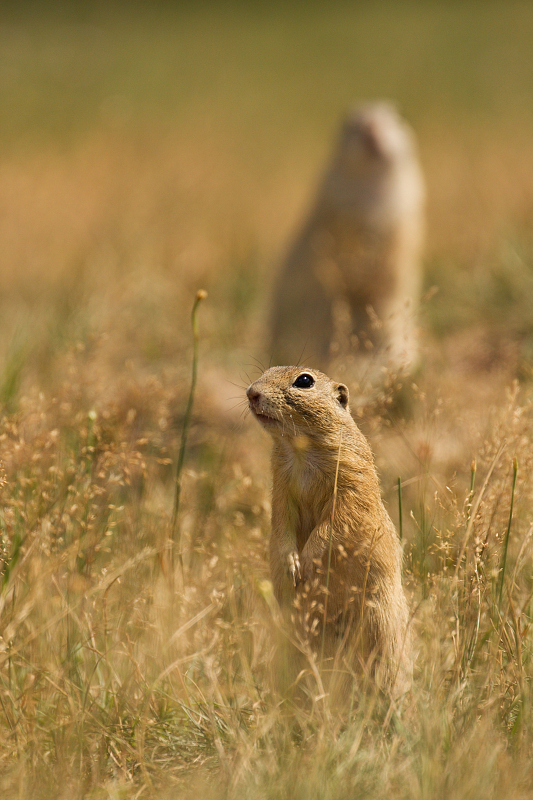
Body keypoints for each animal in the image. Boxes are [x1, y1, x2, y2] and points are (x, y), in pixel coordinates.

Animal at [246, 366, 412, 696]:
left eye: (304, 381)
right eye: (267, 370)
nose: (251, 393)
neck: (299, 448)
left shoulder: (350, 485)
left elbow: (332, 527)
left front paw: (308, 562)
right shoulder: (281, 493)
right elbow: (281, 529)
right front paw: (289, 564)